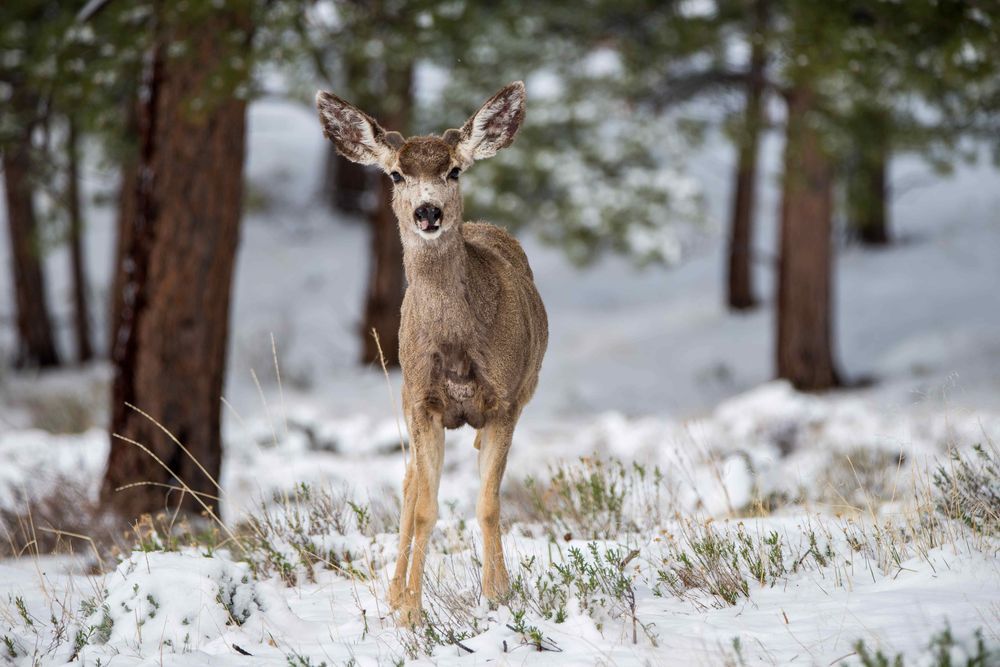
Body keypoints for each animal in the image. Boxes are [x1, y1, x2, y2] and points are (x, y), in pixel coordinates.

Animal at [315, 82, 548, 624]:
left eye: (454, 170)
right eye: (396, 174)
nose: (428, 211)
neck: (457, 349)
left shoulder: (505, 400)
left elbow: (488, 503)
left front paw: (497, 595)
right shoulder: (421, 400)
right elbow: (425, 505)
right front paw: (411, 613)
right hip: (403, 395)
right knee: (410, 482)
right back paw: (393, 591)